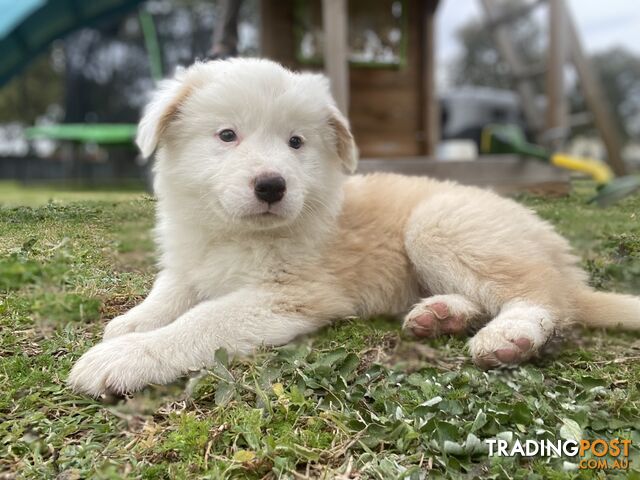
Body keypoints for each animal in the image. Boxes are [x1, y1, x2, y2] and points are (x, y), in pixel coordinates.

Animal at [69, 58, 640, 396]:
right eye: (227, 135)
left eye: (296, 142)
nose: (272, 186)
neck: (236, 233)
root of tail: (560, 258)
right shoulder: (189, 262)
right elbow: (169, 293)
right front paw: (132, 323)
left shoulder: (289, 295)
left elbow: (201, 321)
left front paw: (125, 356)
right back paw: (441, 316)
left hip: (438, 226)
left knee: (545, 298)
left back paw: (511, 335)